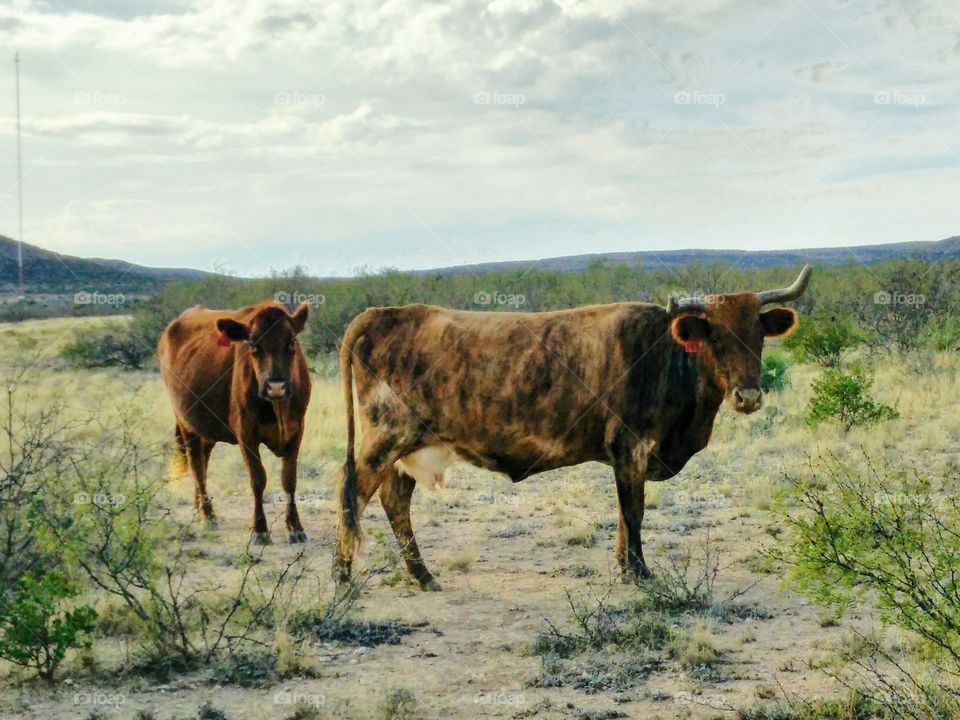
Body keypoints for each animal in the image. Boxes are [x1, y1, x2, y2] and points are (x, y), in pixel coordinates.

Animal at [158, 301, 312, 544]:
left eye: (291, 343)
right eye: (253, 345)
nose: (275, 386)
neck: (278, 409)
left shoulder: (297, 431)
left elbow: (289, 479)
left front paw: (295, 527)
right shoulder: (245, 432)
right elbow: (258, 479)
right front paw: (260, 530)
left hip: (206, 430)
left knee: (203, 461)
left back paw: (199, 508)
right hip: (185, 423)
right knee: (197, 465)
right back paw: (208, 515)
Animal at [333, 267, 811, 590]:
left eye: (758, 335)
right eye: (715, 337)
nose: (748, 396)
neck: (664, 356)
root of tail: (381, 314)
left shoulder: (628, 457)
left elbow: (624, 514)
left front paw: (623, 566)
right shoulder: (630, 447)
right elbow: (633, 511)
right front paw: (639, 572)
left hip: (408, 449)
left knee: (395, 502)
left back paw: (422, 576)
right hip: (382, 440)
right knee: (352, 494)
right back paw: (342, 577)